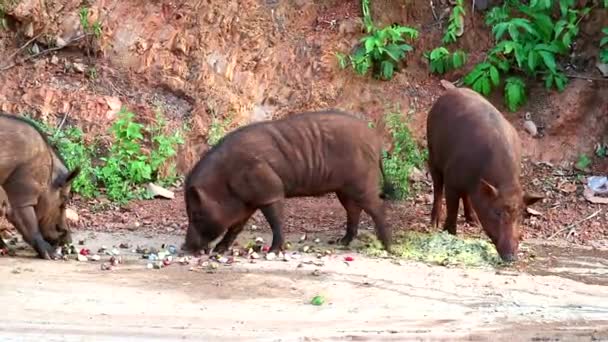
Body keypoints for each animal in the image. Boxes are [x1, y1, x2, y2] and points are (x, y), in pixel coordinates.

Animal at [183, 109, 396, 254]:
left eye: (196, 214)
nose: (185, 247)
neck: (224, 182)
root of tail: (376, 142)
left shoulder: (270, 191)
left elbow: (275, 220)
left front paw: (273, 251)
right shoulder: (248, 202)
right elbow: (236, 225)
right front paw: (219, 250)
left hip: (362, 181)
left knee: (377, 206)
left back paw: (388, 246)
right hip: (344, 188)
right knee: (353, 209)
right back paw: (341, 242)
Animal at [426, 88, 544, 262]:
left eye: (520, 215)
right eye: (497, 212)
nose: (511, 257)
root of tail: (450, 92)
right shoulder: (451, 179)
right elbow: (452, 208)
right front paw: (450, 233)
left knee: (465, 195)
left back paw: (473, 221)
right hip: (432, 152)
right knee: (437, 185)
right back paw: (434, 223)